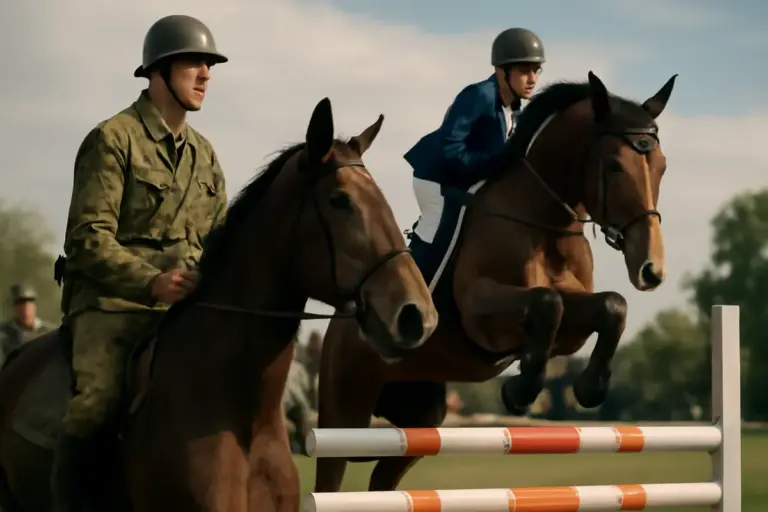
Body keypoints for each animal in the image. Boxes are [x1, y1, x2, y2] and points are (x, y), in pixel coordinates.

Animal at [313, 71, 677, 492]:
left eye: (662, 166)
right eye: (615, 165)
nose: (651, 269)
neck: (543, 220)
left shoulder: (573, 318)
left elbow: (611, 305)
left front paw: (588, 389)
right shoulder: (480, 310)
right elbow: (547, 302)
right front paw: (520, 391)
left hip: (420, 420)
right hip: (343, 416)